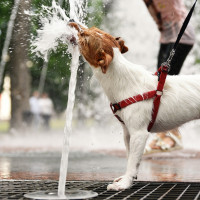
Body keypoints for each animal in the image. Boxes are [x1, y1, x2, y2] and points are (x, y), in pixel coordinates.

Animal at [69, 21, 200, 191]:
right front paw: (128, 178)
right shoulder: (128, 132)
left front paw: (125, 183)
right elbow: (130, 157)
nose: (71, 20)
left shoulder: (139, 133)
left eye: (84, 37)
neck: (122, 80)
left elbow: (132, 161)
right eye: (92, 29)